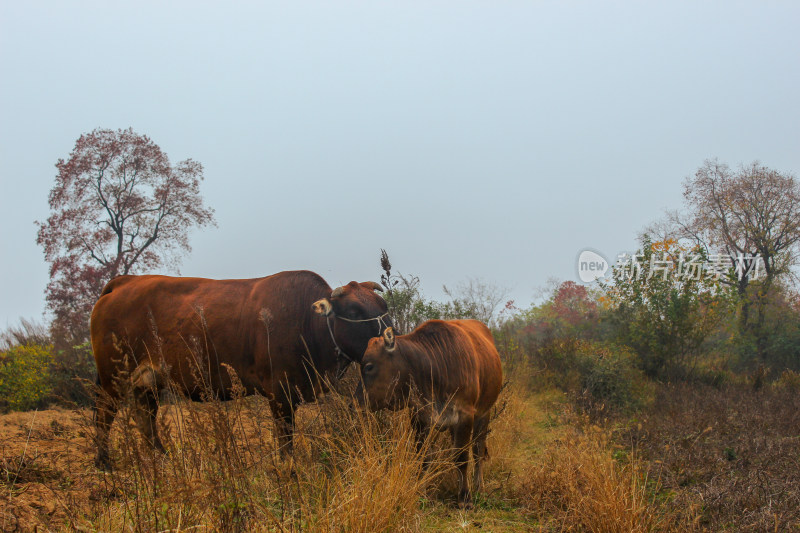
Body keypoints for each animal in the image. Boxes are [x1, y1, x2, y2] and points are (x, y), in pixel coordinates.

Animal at [90, 270, 390, 470]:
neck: (305, 319)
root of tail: (125, 281)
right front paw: (288, 469)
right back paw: (104, 462)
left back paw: (163, 458)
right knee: (104, 415)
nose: (390, 337)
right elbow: (285, 440)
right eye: (354, 311)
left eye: (383, 307)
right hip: (113, 377)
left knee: (145, 419)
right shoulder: (280, 394)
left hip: (148, 382)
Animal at [354, 318, 500, 504]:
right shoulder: (419, 417)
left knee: (477, 450)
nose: (354, 403)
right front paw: (421, 491)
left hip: (484, 413)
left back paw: (478, 485)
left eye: (369, 367)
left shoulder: (465, 415)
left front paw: (465, 496)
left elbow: (461, 458)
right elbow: (424, 458)